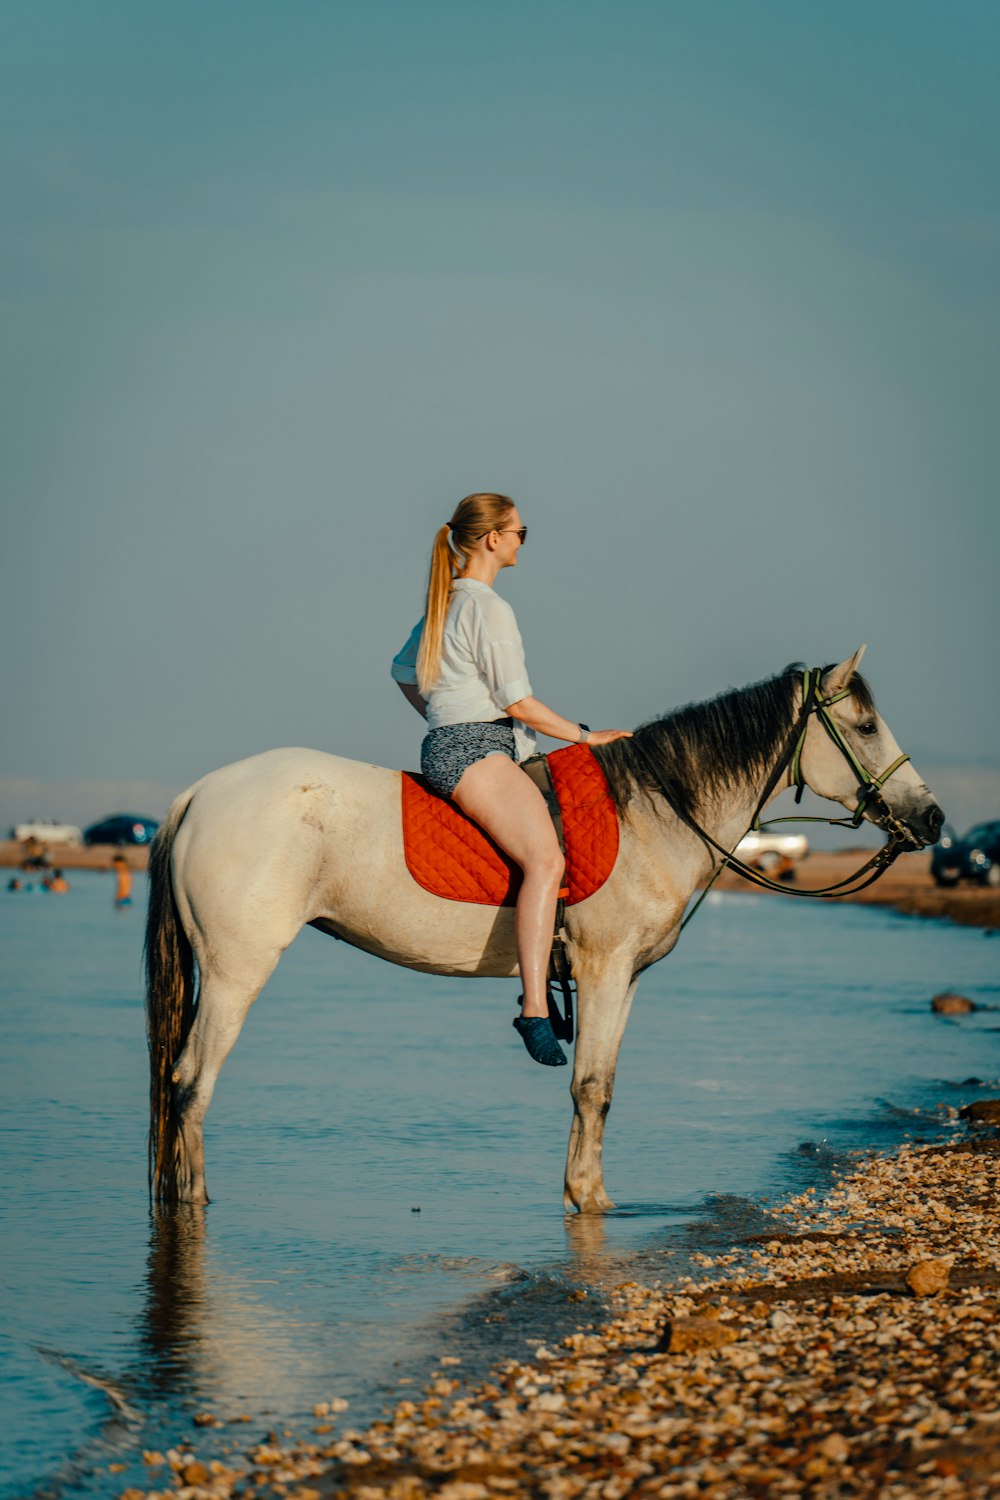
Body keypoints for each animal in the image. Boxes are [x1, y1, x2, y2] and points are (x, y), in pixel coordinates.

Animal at [144, 651, 941, 1212]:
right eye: (865, 727)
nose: (931, 818)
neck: (652, 811)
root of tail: (201, 794)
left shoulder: (621, 979)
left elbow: (603, 1087)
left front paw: (589, 1193)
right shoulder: (603, 968)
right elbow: (590, 1087)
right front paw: (587, 1201)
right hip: (235, 970)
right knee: (190, 1082)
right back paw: (194, 1204)